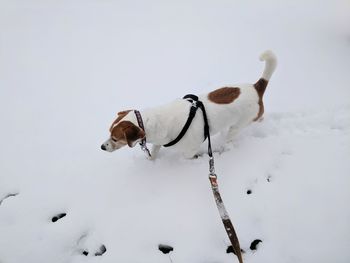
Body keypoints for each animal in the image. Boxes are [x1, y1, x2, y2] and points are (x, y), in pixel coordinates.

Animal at [100, 50, 276, 160]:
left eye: (115, 138)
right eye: (109, 133)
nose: (102, 147)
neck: (154, 122)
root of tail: (256, 87)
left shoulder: (190, 148)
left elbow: (188, 155)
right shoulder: (158, 140)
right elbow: (155, 150)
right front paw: (152, 159)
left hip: (237, 126)